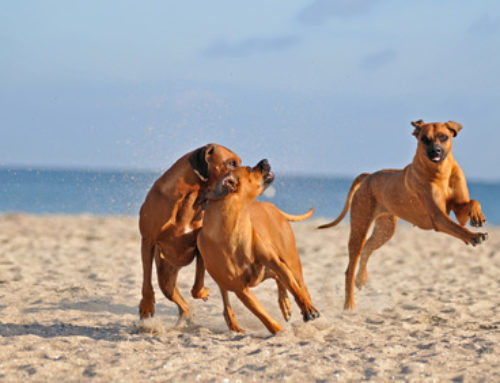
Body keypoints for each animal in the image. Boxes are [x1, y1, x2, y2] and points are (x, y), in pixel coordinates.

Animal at [139, 144, 240, 320]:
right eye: (232, 163)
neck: (188, 195)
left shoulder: (201, 247)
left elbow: (197, 285)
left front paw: (202, 292)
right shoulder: (147, 241)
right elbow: (146, 279)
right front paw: (146, 304)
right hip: (165, 278)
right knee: (180, 302)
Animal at [197, 160, 318, 334]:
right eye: (249, 169)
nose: (265, 160)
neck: (232, 228)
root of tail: (273, 207)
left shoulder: (274, 262)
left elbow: (293, 287)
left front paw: (306, 308)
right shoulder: (241, 289)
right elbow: (262, 314)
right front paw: (278, 331)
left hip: (290, 261)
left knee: (299, 285)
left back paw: (304, 305)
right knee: (227, 301)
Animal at [318, 121, 486, 310]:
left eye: (444, 137)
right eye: (425, 139)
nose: (436, 151)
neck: (440, 171)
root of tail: (369, 176)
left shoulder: (459, 208)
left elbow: (472, 203)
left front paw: (477, 217)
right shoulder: (438, 217)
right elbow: (457, 227)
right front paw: (473, 236)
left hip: (385, 229)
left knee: (368, 247)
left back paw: (361, 279)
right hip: (359, 224)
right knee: (351, 267)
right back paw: (349, 305)